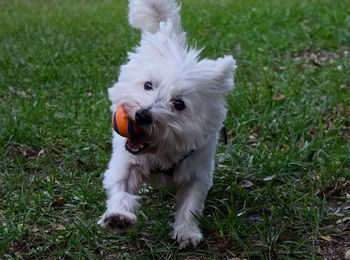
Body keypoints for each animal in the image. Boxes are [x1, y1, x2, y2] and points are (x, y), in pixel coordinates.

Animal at [97, 0, 237, 249]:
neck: (161, 151)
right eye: (148, 85)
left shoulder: (197, 172)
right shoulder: (127, 164)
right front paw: (119, 217)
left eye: (179, 104)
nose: (142, 115)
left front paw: (187, 233)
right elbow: (122, 188)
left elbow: (191, 206)